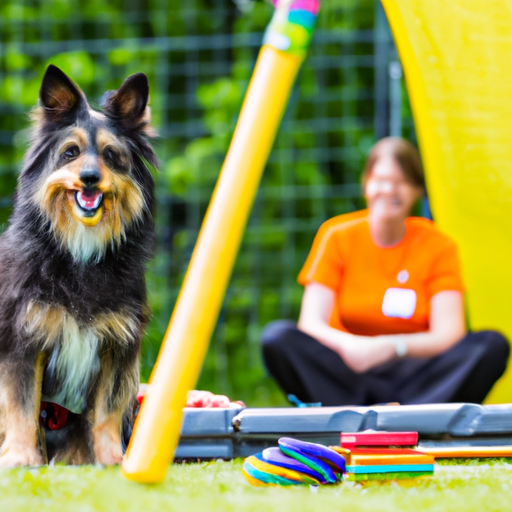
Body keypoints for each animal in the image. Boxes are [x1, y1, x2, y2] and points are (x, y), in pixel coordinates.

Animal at [0, 65, 157, 468]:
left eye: (111, 155)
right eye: (70, 152)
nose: (89, 178)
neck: (79, 248)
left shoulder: (117, 344)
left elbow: (107, 412)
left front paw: (112, 460)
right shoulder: (23, 340)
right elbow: (21, 407)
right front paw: (20, 458)